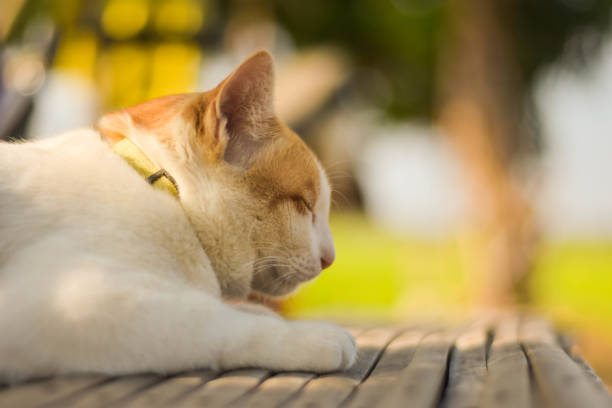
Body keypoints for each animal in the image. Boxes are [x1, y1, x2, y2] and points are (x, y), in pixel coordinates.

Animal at [0, 51, 356, 382]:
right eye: (305, 206)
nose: (330, 259)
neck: (171, 198)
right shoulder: (77, 302)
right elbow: (213, 320)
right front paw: (312, 336)